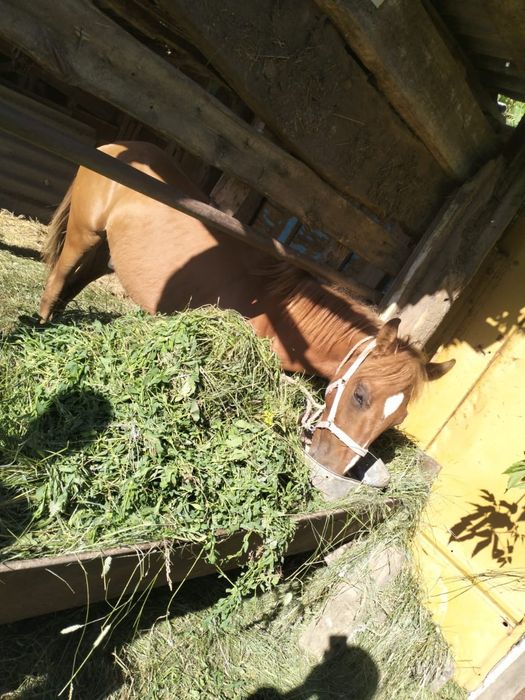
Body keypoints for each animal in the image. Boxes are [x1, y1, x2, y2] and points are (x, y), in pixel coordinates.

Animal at [39, 141, 454, 483]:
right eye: (361, 396)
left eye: (396, 419)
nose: (331, 467)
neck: (285, 313)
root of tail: (115, 145)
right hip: (84, 234)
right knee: (58, 279)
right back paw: (42, 329)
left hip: (106, 252)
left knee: (74, 284)